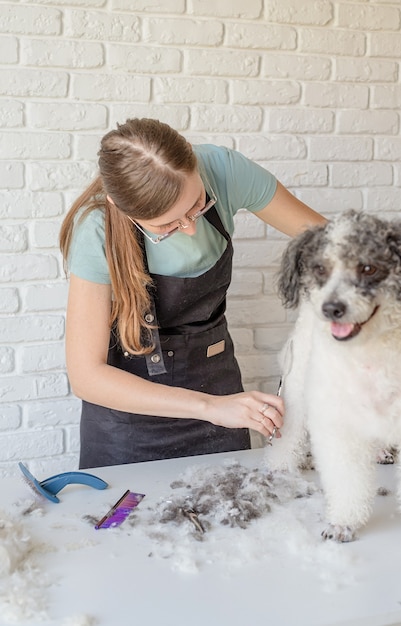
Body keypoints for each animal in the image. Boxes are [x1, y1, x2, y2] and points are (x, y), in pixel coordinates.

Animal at [268, 210, 400, 540]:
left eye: (368, 267)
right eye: (320, 269)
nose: (332, 308)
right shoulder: (339, 422)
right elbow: (347, 478)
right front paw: (343, 522)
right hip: (297, 385)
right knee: (290, 435)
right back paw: (280, 467)